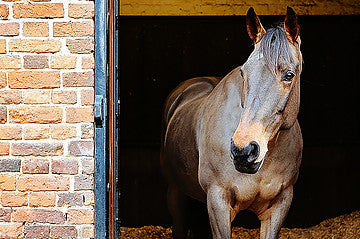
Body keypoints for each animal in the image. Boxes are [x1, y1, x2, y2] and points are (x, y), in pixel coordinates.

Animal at [160, 6, 304, 238]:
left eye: (289, 75)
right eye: (244, 73)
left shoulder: (280, 203)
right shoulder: (218, 202)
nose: (244, 151)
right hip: (175, 192)